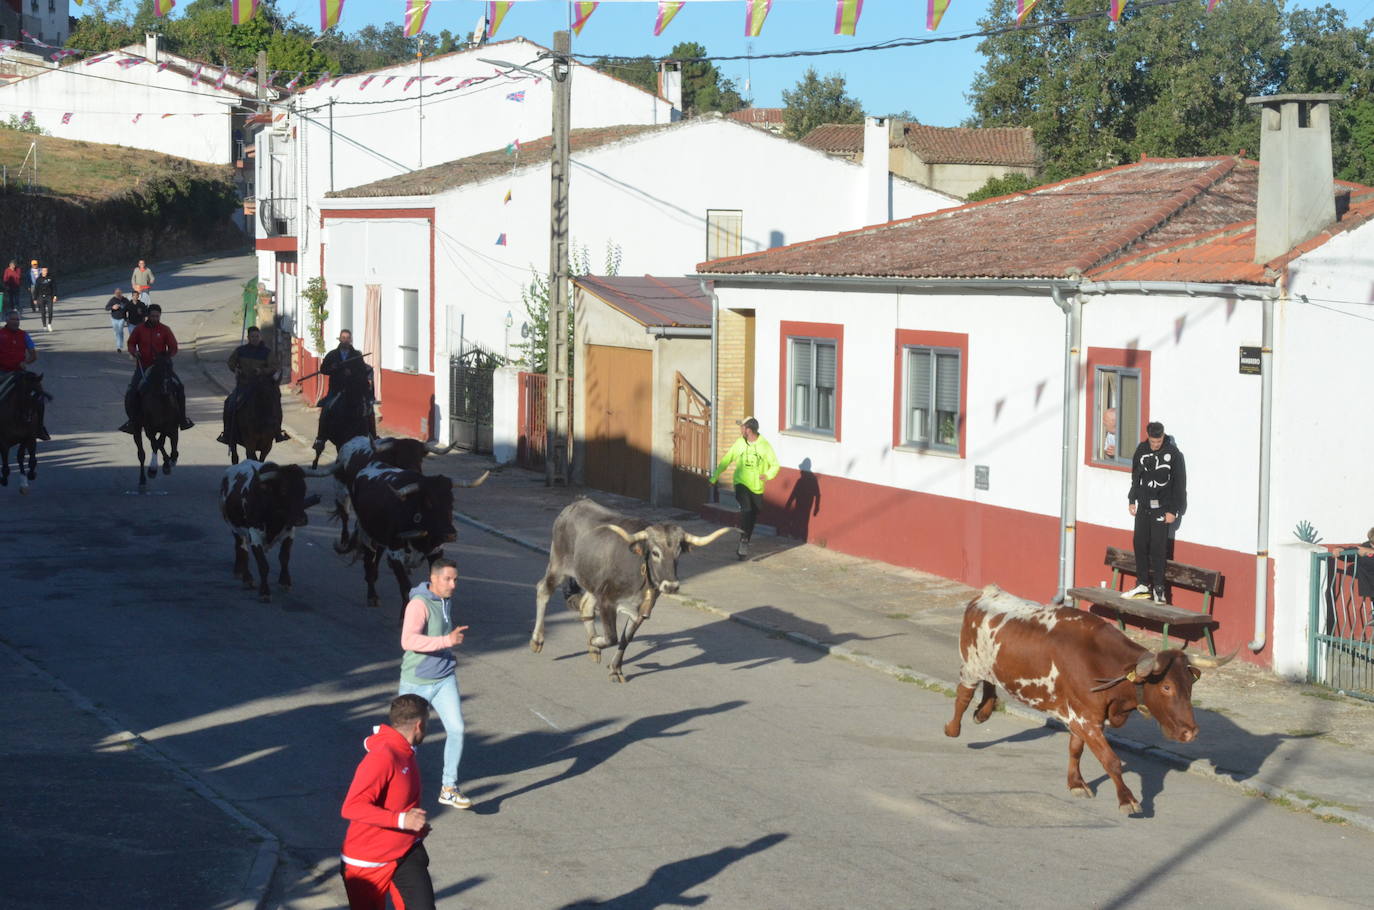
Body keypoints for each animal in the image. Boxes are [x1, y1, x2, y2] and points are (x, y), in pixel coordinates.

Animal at [127, 357, 182, 489]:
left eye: (171, 365)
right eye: (158, 367)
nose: (166, 387)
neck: (162, 402)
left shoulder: (168, 426)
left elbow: (161, 442)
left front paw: (168, 462)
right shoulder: (149, 428)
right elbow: (157, 444)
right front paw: (158, 466)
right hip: (137, 429)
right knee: (141, 453)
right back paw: (143, 479)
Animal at [217, 464, 318, 604]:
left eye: (304, 489)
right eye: (284, 490)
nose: (301, 519)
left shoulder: (289, 532)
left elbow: (284, 558)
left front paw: (285, 582)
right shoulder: (254, 536)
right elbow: (263, 565)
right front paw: (264, 592)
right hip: (233, 526)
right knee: (241, 549)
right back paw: (246, 577)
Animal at [530, 500, 736, 684]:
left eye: (678, 553)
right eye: (655, 552)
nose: (671, 586)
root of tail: (575, 504)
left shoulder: (641, 610)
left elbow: (625, 639)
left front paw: (615, 669)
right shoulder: (607, 602)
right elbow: (611, 637)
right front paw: (596, 641)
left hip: (592, 581)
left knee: (585, 606)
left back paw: (594, 650)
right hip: (558, 566)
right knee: (543, 590)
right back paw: (537, 640)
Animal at [945, 588, 1236, 813]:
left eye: (1190, 686)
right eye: (1166, 687)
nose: (1190, 732)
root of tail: (987, 593)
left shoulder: (1083, 717)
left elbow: (1076, 749)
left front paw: (1075, 783)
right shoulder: (1086, 719)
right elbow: (1111, 760)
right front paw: (1127, 800)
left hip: (990, 665)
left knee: (990, 683)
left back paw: (983, 712)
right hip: (971, 665)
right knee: (963, 696)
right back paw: (953, 728)